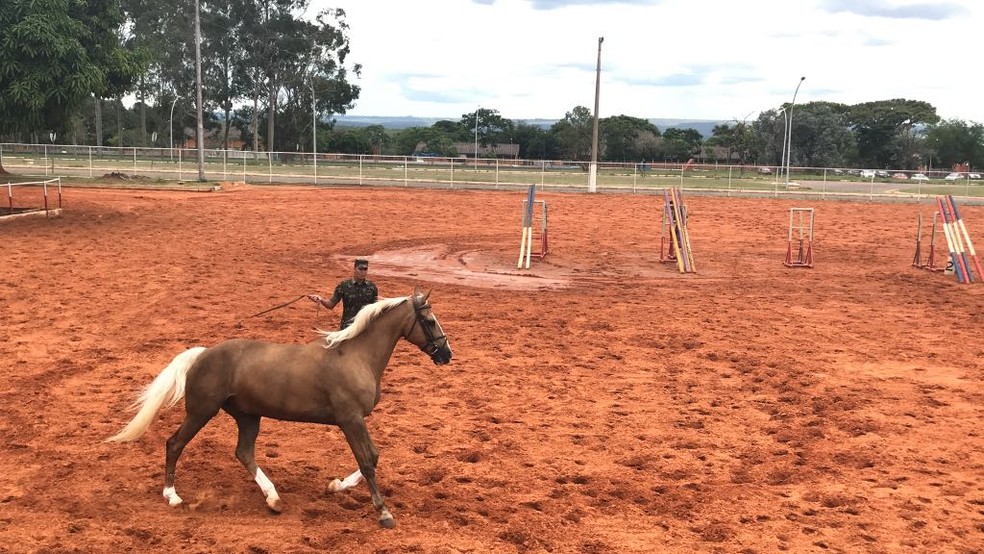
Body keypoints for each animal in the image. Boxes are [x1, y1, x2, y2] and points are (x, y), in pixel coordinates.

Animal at [105, 286, 452, 528]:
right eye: (430, 320)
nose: (446, 354)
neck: (355, 356)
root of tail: (202, 353)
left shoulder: (353, 420)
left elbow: (374, 458)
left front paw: (334, 486)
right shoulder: (350, 419)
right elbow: (367, 460)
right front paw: (384, 513)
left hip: (248, 416)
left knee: (244, 453)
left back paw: (273, 499)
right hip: (201, 412)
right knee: (174, 444)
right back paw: (172, 496)